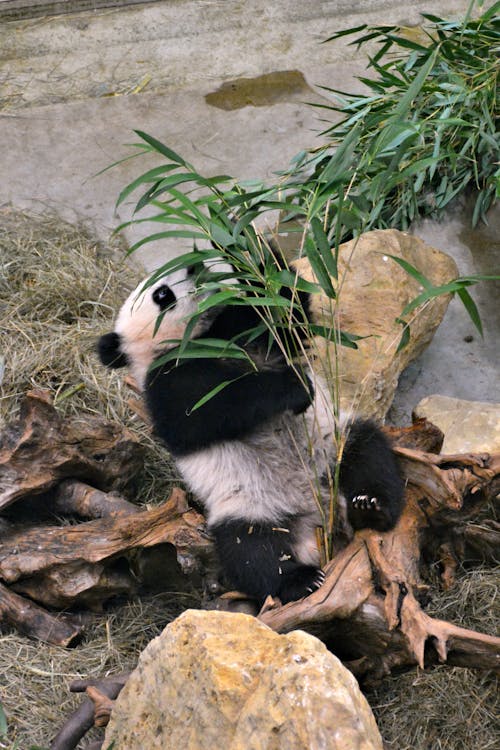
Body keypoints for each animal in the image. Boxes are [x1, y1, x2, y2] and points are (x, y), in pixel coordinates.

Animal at [96, 264, 402, 604]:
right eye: (161, 294)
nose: (195, 266)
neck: (199, 341)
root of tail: (315, 521)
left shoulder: (242, 331)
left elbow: (286, 316)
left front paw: (249, 258)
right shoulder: (165, 382)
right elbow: (206, 411)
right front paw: (292, 389)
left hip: (333, 447)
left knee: (368, 455)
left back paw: (370, 507)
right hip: (248, 504)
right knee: (251, 550)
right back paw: (302, 580)